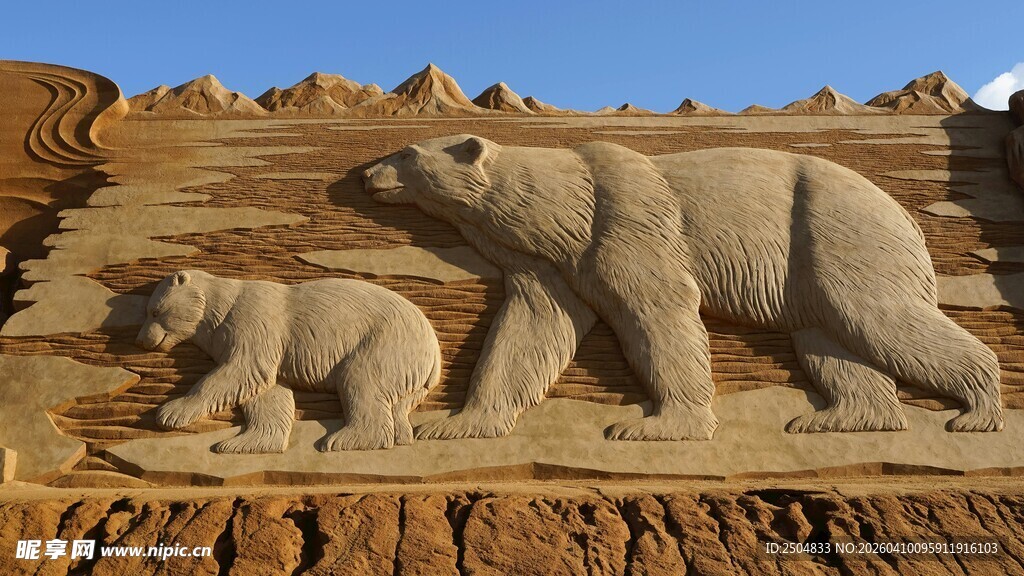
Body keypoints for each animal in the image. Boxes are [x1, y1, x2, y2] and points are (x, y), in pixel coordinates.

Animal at [136, 270, 441, 453]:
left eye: (155, 311)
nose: (140, 340)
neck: (221, 308)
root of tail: (434, 347)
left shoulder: (254, 322)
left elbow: (239, 371)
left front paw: (171, 412)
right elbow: (267, 393)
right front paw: (243, 443)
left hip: (385, 343)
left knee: (361, 381)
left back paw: (343, 439)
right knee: (396, 403)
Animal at [361, 134, 1004, 441]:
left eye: (407, 152)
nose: (367, 174)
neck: (563, 208)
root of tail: (904, 215)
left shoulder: (625, 226)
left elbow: (660, 312)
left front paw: (656, 425)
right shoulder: (555, 264)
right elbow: (530, 332)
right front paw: (455, 422)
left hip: (841, 236)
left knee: (879, 317)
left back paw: (978, 411)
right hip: (815, 265)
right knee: (830, 340)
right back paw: (838, 418)